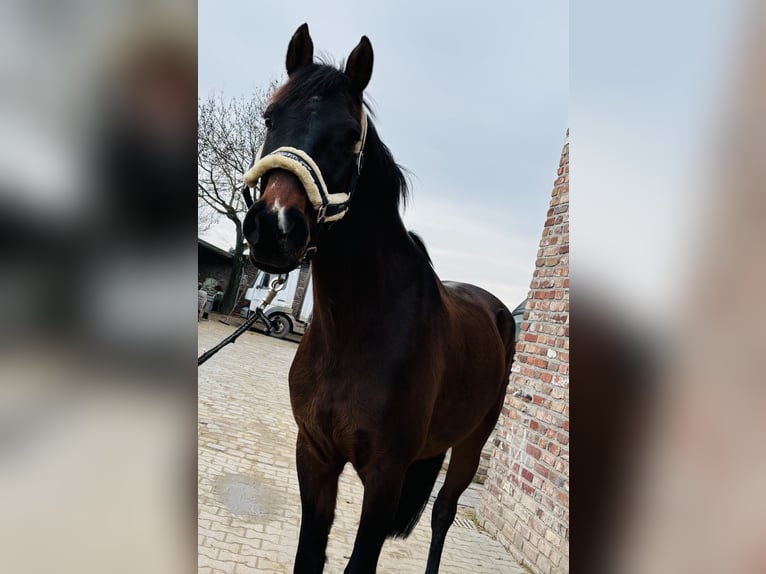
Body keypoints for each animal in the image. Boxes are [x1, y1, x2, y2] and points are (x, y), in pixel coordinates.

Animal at [241, 23, 516, 574]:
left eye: (351, 135)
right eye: (269, 116)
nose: (274, 228)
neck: (357, 329)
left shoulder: (386, 476)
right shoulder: (315, 456)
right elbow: (309, 554)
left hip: (472, 443)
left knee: (443, 514)